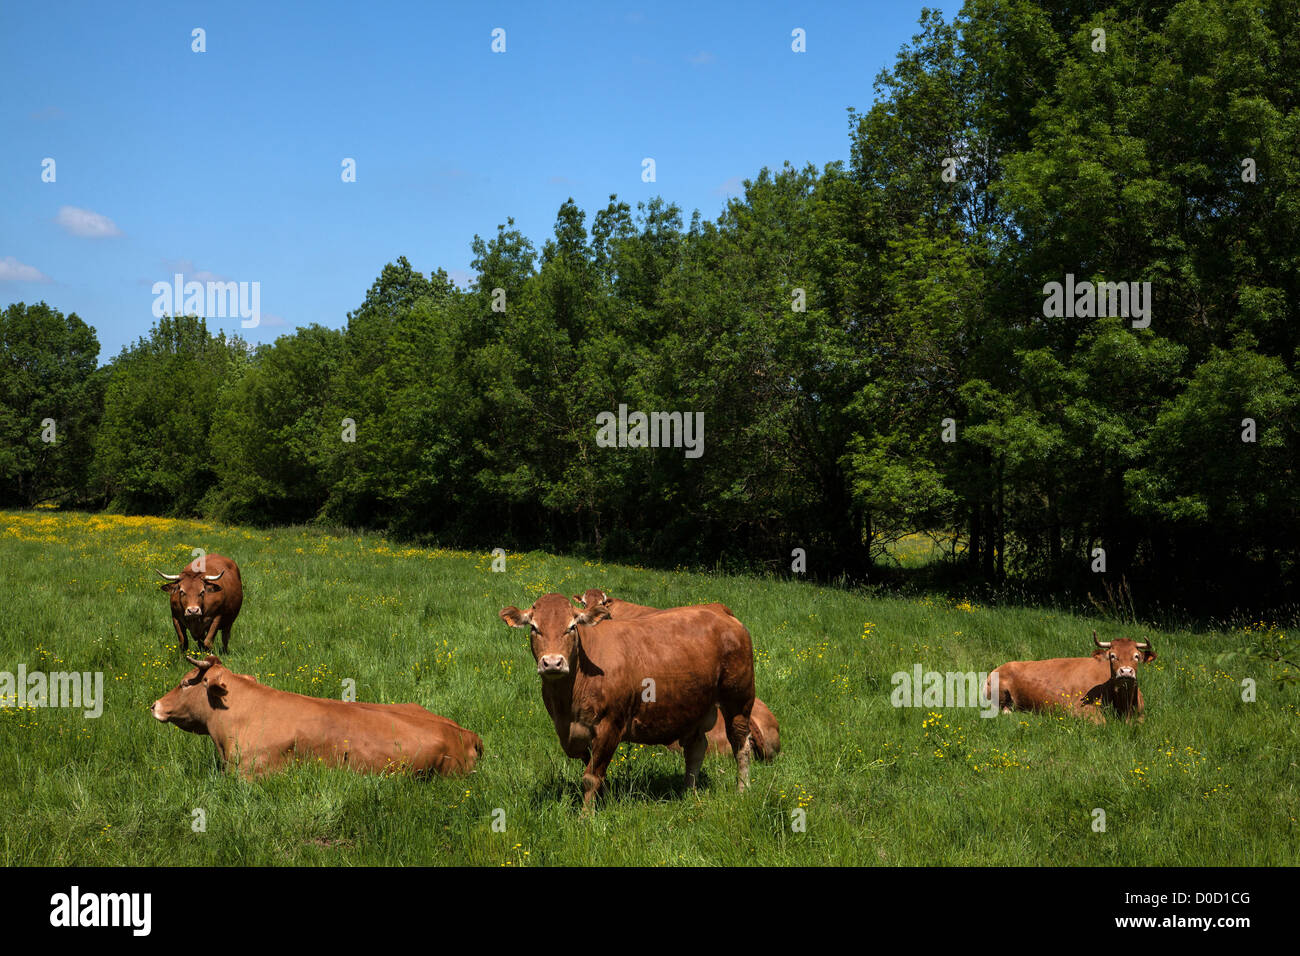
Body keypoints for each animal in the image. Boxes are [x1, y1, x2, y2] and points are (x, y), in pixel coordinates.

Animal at [499, 595, 759, 811]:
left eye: (572, 626)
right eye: (534, 627)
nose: (552, 663)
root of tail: (717, 609)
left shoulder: (610, 726)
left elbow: (590, 777)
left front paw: (586, 817)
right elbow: (597, 774)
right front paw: (604, 802)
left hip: (738, 699)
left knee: (740, 744)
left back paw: (743, 789)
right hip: (693, 706)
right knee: (695, 749)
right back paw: (688, 792)